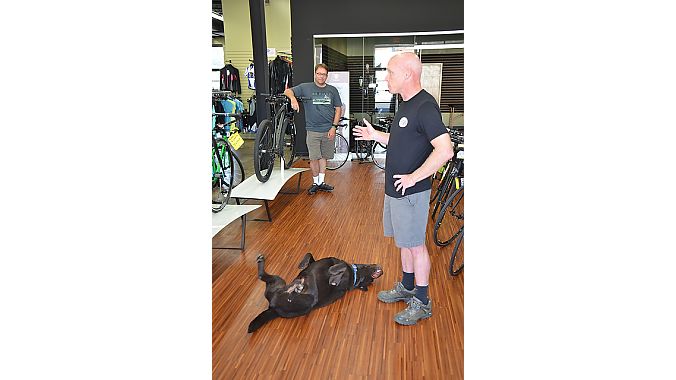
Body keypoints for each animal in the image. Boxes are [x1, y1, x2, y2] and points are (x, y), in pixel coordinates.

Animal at [248, 252, 382, 332]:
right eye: (369, 280)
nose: (381, 271)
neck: (354, 276)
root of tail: (273, 308)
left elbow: (341, 266)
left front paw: (334, 276)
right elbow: (309, 254)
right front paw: (302, 264)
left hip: (304, 297)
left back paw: (297, 286)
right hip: (278, 282)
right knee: (262, 275)